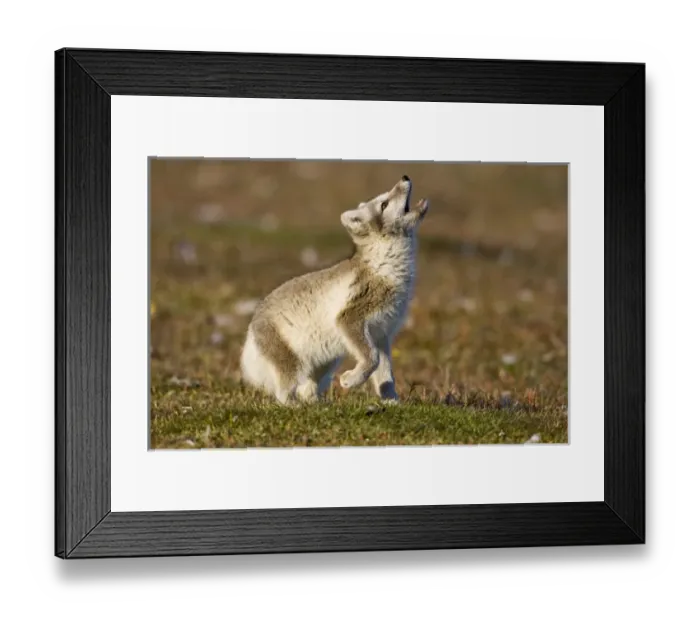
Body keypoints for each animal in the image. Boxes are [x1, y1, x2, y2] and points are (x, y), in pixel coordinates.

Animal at [239, 175, 429, 405]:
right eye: (384, 204)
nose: (405, 177)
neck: (384, 264)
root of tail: (250, 332)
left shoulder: (382, 333)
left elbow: (385, 372)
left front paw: (391, 401)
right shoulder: (351, 317)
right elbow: (372, 359)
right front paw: (349, 381)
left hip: (325, 360)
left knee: (307, 390)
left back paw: (318, 403)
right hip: (291, 361)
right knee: (284, 392)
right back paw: (294, 405)